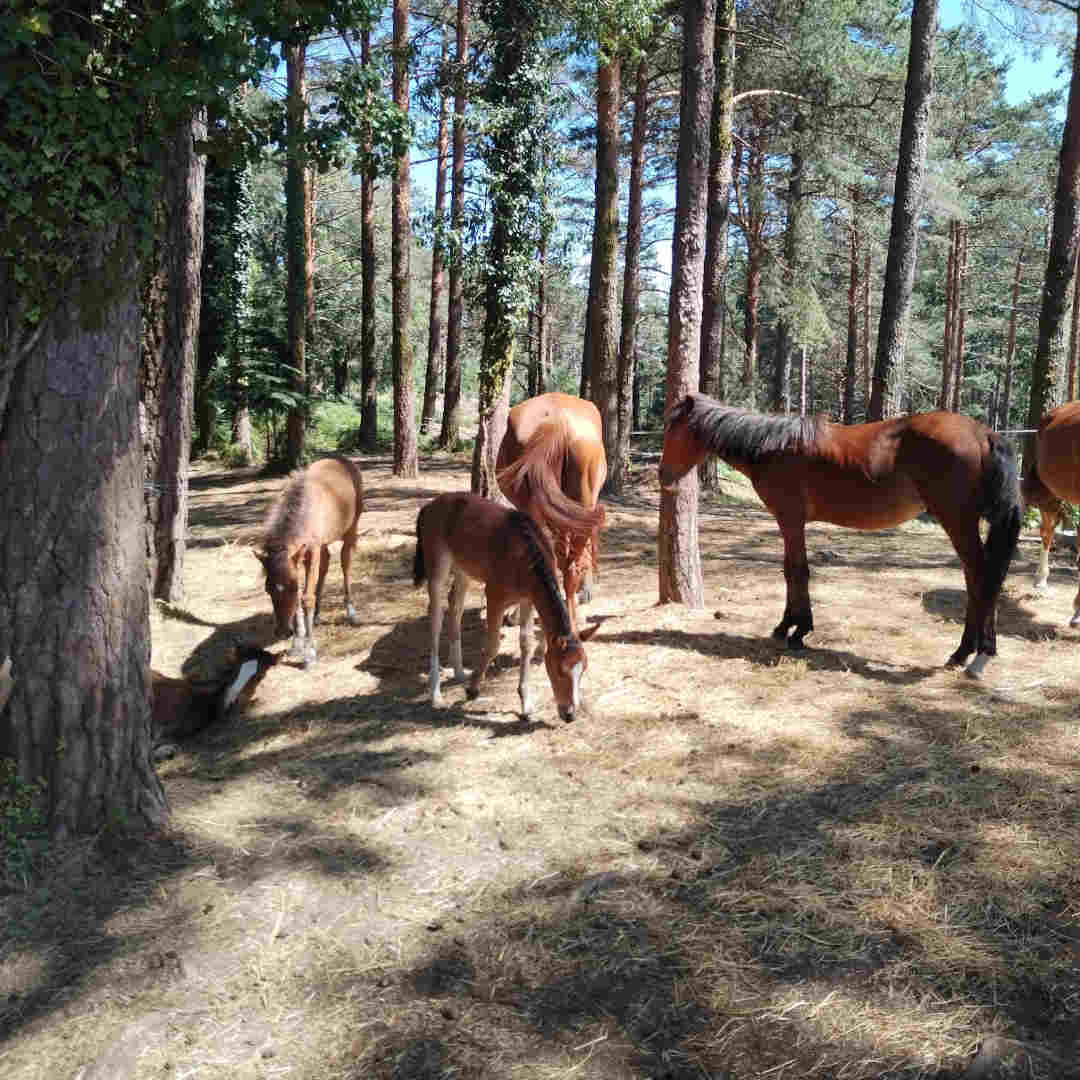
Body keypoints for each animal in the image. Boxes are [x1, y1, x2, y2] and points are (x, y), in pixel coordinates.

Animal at [254, 455, 365, 665]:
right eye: (267, 589)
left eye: (289, 588)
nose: (282, 632)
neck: (303, 512)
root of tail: (346, 461)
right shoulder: (301, 556)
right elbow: (302, 597)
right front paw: (297, 643)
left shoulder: (311, 550)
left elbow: (306, 597)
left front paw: (310, 653)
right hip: (323, 544)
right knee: (326, 564)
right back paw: (317, 616)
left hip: (350, 529)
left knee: (346, 563)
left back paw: (351, 612)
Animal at [410, 494, 600, 721]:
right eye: (560, 670)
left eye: (583, 669)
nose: (570, 713)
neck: (525, 557)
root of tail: (429, 506)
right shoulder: (494, 597)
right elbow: (493, 644)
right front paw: (473, 689)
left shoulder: (528, 599)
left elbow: (526, 642)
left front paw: (526, 703)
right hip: (437, 565)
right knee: (436, 617)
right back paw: (436, 693)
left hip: (463, 569)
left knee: (455, 606)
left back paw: (459, 672)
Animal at [656, 388, 1019, 673]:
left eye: (675, 429)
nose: (663, 475)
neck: (774, 447)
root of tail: (983, 433)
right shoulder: (790, 523)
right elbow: (791, 570)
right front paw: (787, 627)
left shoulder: (790, 520)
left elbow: (797, 571)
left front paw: (797, 631)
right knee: (980, 577)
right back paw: (976, 651)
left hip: (957, 520)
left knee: (980, 576)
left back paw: (968, 652)